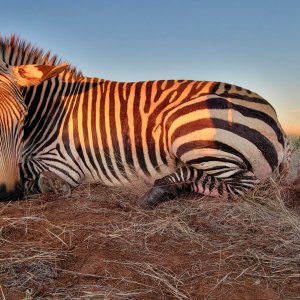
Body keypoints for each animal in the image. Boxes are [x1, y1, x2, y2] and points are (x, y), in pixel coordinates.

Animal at [0, 34, 292, 205]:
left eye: (23, 116)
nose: (8, 193)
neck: (48, 109)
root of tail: (274, 115)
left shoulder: (63, 162)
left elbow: (34, 173)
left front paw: (49, 185)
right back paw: (165, 189)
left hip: (186, 130)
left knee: (242, 184)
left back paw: (158, 191)